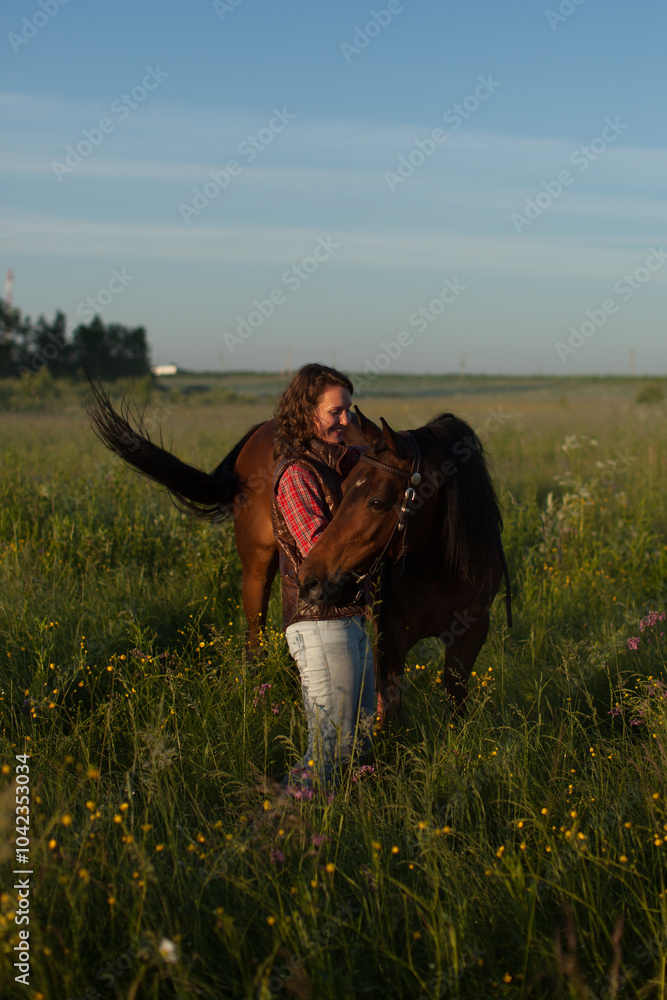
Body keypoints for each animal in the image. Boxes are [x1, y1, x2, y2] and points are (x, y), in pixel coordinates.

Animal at [86, 383, 510, 721]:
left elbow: (454, 705)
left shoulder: (469, 636)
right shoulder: (390, 636)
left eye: (376, 502)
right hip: (258, 567)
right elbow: (389, 714)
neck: (439, 568)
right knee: (255, 636)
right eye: (345, 487)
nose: (312, 577)